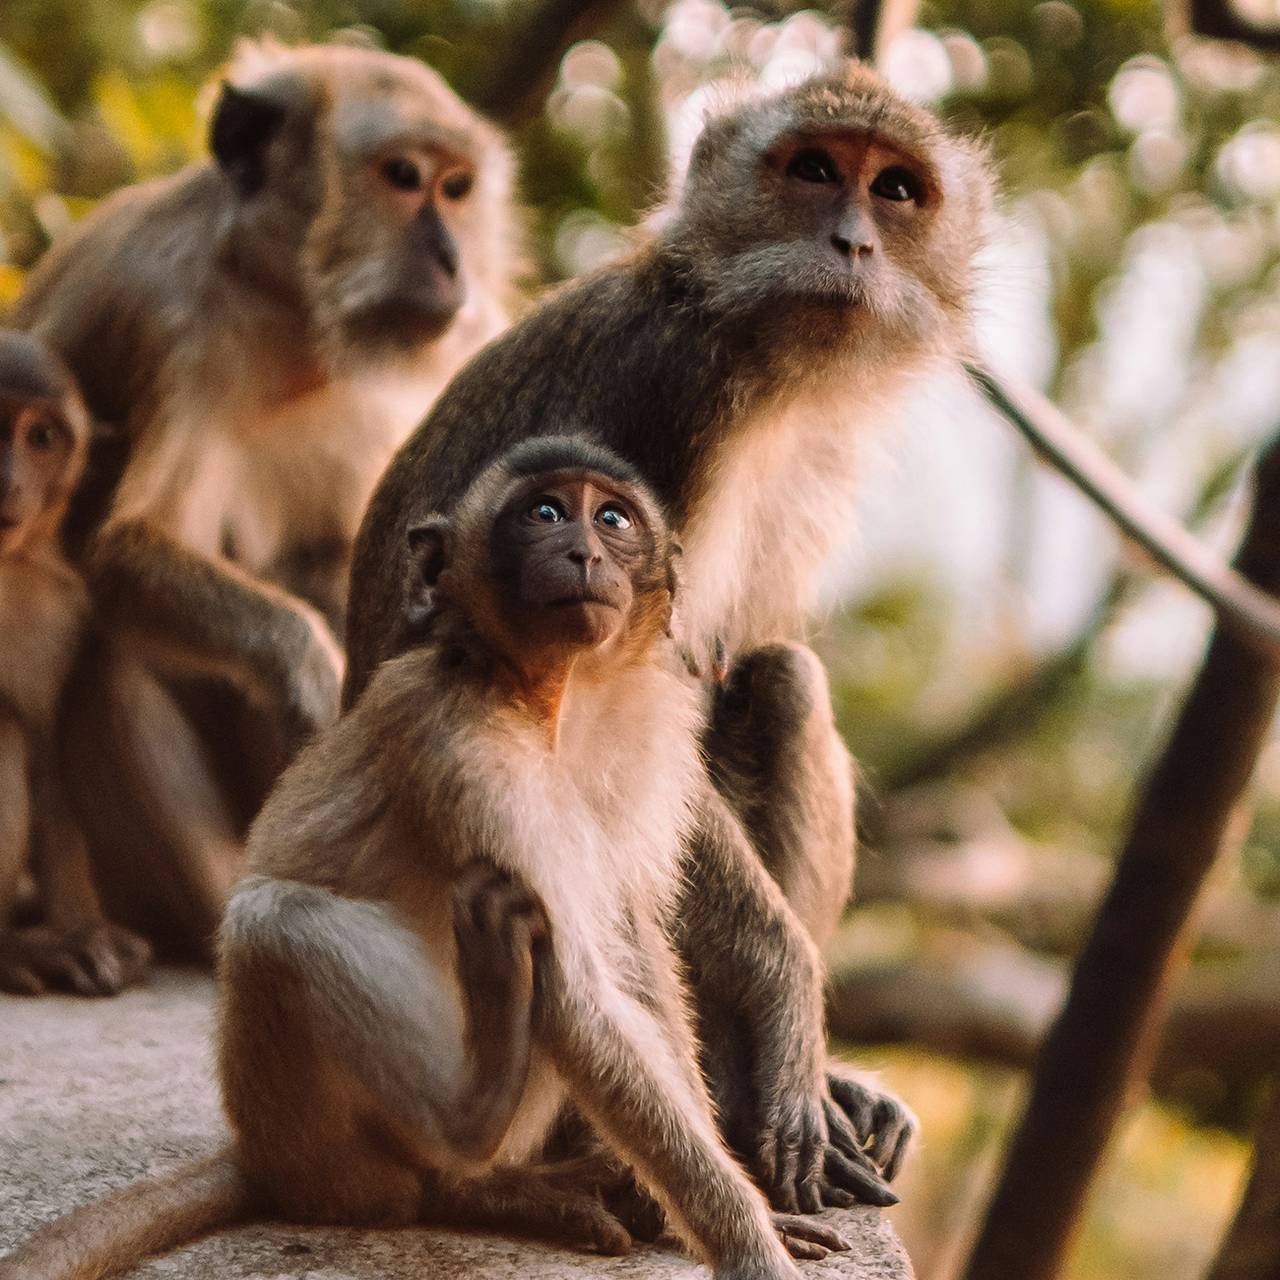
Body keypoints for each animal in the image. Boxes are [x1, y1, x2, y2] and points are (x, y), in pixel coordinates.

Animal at [2, 435, 839, 1274]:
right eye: (544, 512)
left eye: (612, 518)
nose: (583, 553)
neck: (548, 700)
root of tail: (259, 1154)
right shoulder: (466, 750)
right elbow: (578, 993)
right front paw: (748, 1245)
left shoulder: (641, 740)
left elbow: (631, 958)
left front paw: (731, 1216)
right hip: (314, 1133)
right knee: (279, 921)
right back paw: (470, 1136)